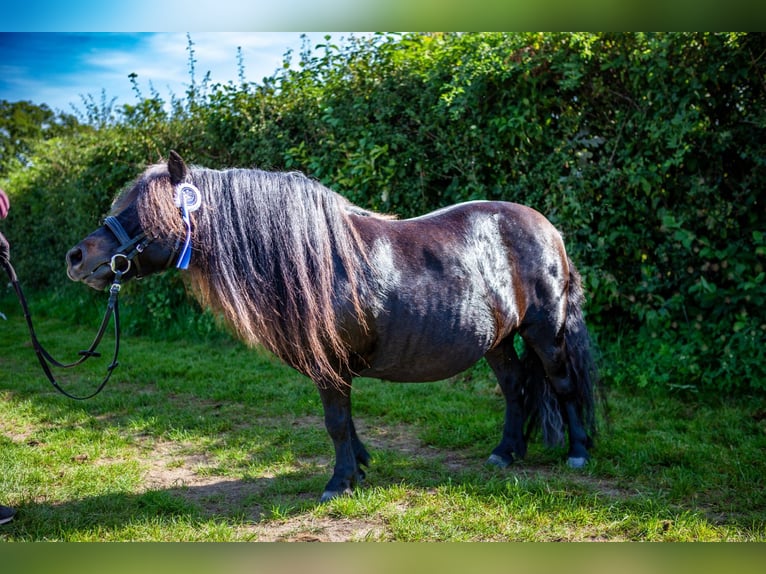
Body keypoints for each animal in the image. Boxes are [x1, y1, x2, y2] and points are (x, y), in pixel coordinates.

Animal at [67, 153, 600, 504]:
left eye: (143, 211)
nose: (77, 257)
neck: (313, 259)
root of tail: (548, 229)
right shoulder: (333, 368)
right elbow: (346, 424)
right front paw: (359, 469)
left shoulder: (331, 366)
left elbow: (336, 422)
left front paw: (338, 484)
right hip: (497, 341)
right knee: (515, 388)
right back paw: (506, 453)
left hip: (545, 332)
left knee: (562, 384)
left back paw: (577, 452)